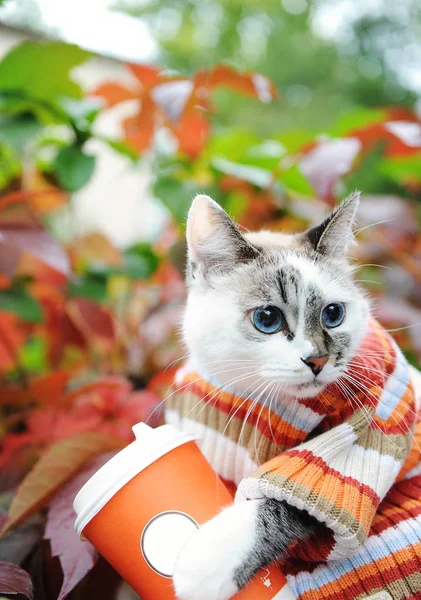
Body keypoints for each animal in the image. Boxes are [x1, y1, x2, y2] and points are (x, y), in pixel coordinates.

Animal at [169, 193, 418, 600]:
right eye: (267, 318)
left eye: (333, 314)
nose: (317, 360)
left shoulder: (359, 442)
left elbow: (288, 501)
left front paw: (205, 562)